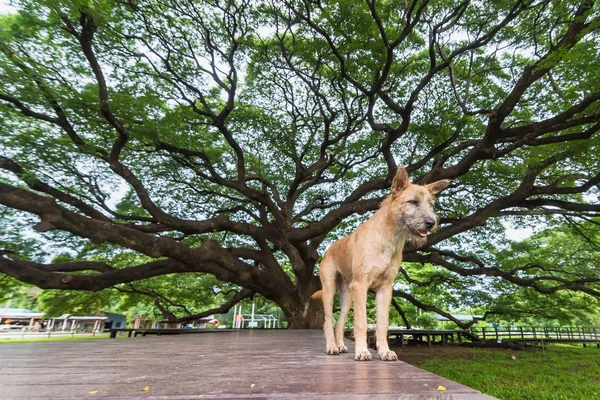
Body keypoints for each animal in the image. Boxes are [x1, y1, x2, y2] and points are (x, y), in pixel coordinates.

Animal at [316, 167, 448, 360]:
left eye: (431, 204)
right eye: (413, 202)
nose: (431, 223)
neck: (389, 238)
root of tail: (328, 250)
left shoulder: (385, 288)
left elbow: (382, 324)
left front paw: (384, 351)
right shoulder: (361, 285)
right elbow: (361, 322)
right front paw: (362, 351)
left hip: (348, 295)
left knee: (339, 322)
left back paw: (340, 346)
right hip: (329, 290)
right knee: (327, 321)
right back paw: (332, 347)